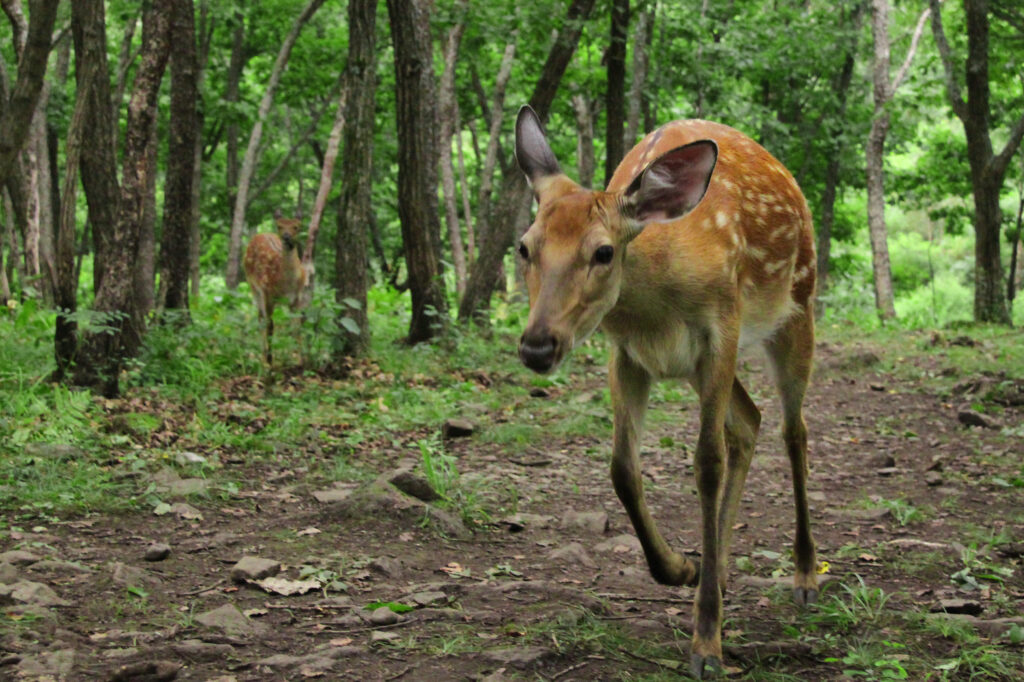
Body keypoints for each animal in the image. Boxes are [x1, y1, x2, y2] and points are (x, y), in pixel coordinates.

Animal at [243, 210, 311, 364]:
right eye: (279, 226)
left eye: (296, 226)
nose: (286, 237)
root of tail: (259, 234)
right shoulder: (268, 294)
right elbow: (270, 325)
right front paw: (270, 360)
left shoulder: (297, 298)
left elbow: (296, 327)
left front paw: (301, 359)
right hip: (253, 286)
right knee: (261, 319)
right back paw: (263, 356)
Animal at [516, 106, 819, 675]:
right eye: (524, 247)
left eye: (604, 252)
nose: (537, 346)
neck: (657, 305)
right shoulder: (626, 354)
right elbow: (622, 468)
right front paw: (681, 568)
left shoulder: (721, 329)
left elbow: (706, 463)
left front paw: (706, 643)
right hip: (705, 368)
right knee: (750, 422)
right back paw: (717, 571)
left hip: (797, 308)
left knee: (794, 431)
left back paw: (806, 574)